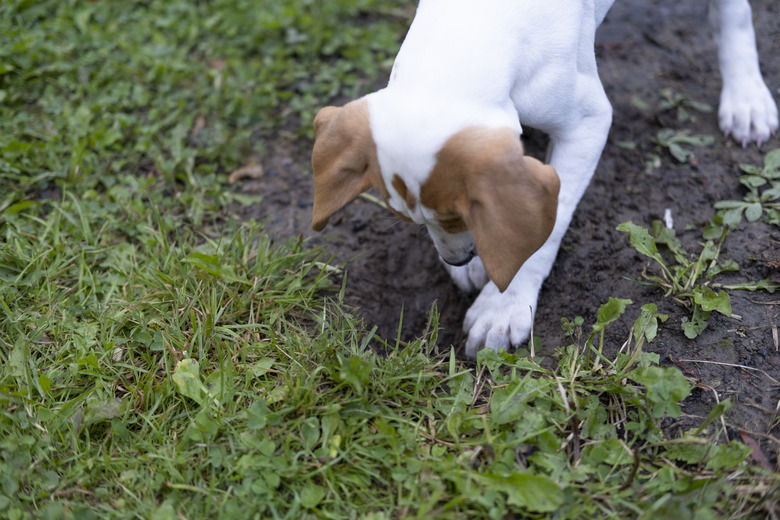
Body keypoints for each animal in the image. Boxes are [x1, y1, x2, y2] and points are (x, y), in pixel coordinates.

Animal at [310, 0, 772, 358]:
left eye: (458, 218)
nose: (457, 260)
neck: (474, 26)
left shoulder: (587, 123)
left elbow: (541, 232)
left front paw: (503, 306)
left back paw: (746, 96)